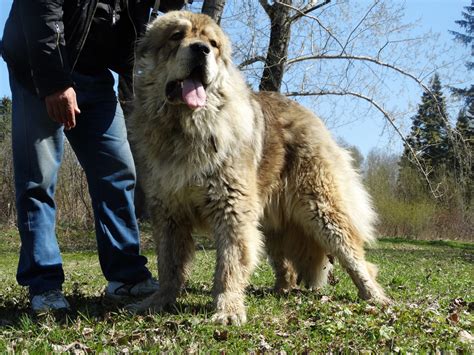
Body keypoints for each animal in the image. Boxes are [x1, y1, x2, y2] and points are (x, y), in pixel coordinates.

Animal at [130, 10, 388, 326]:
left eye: (213, 44)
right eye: (177, 36)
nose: (201, 50)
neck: (185, 129)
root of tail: (309, 116)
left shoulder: (231, 208)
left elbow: (229, 263)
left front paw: (228, 308)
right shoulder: (168, 213)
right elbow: (169, 263)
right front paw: (159, 301)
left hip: (321, 208)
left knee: (354, 255)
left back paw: (374, 295)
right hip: (274, 221)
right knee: (285, 264)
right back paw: (281, 290)